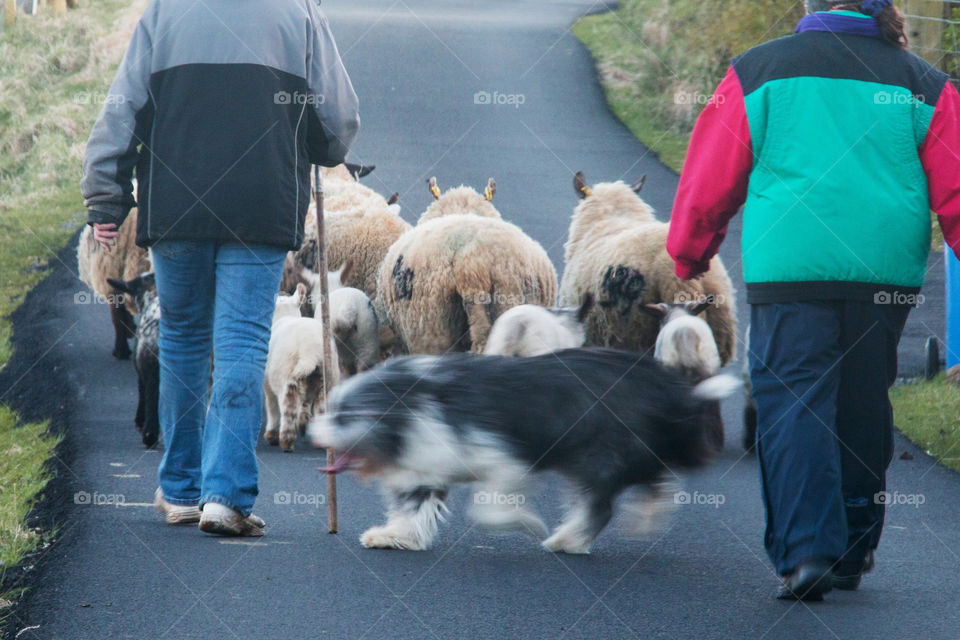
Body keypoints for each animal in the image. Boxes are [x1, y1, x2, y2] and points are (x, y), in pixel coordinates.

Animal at [312, 348, 740, 552]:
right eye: (332, 408)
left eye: (346, 415)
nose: (315, 433)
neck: (412, 404)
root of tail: (672, 390)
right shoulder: (424, 468)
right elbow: (414, 507)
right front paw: (394, 536)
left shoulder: (503, 458)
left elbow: (487, 508)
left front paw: (525, 522)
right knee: (657, 481)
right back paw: (646, 518)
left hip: (602, 455)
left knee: (603, 505)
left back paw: (568, 541)